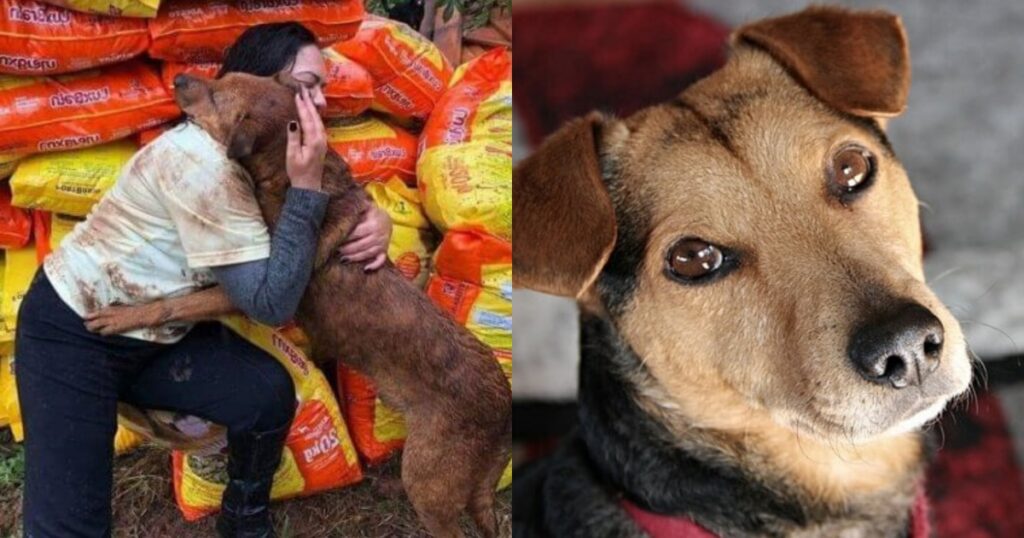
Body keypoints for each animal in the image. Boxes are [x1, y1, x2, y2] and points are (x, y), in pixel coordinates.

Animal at [88, 72, 512, 536]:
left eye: (216, 96)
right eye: (220, 77)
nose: (181, 78)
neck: (286, 176)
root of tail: (504, 405)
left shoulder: (248, 293)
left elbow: (175, 305)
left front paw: (121, 316)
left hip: (429, 481)